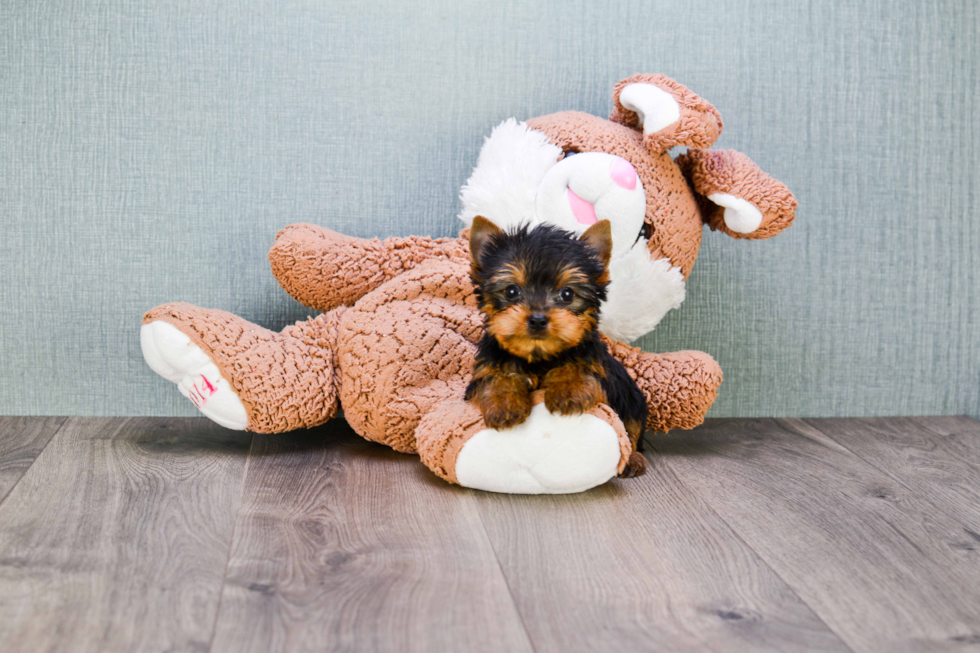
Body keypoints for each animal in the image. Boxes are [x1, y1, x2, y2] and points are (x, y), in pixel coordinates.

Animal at [464, 216, 648, 476]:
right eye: (511, 291)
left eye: (567, 294)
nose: (538, 319)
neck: (540, 355)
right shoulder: (485, 369)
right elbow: (497, 378)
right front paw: (504, 403)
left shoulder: (599, 371)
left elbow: (577, 367)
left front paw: (568, 391)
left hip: (632, 399)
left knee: (631, 429)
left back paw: (634, 459)